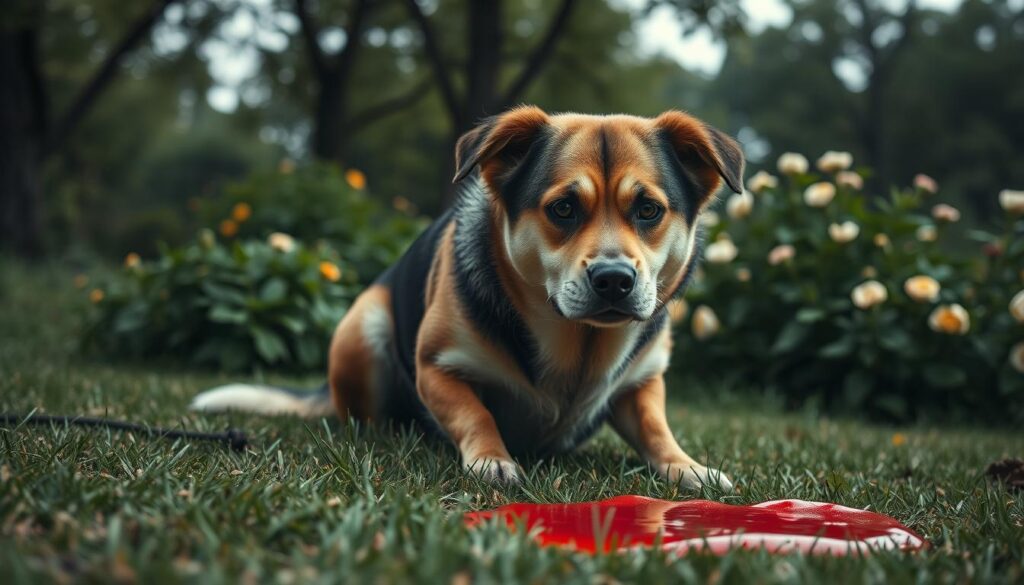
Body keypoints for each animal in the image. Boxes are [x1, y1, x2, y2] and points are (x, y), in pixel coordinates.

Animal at [193, 106, 745, 489]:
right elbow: (474, 413)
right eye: (563, 208)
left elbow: (655, 426)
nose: (614, 278)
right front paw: (493, 459)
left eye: (649, 209)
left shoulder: (643, 381)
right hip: (362, 325)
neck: (579, 343)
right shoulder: (436, 366)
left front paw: (688, 467)